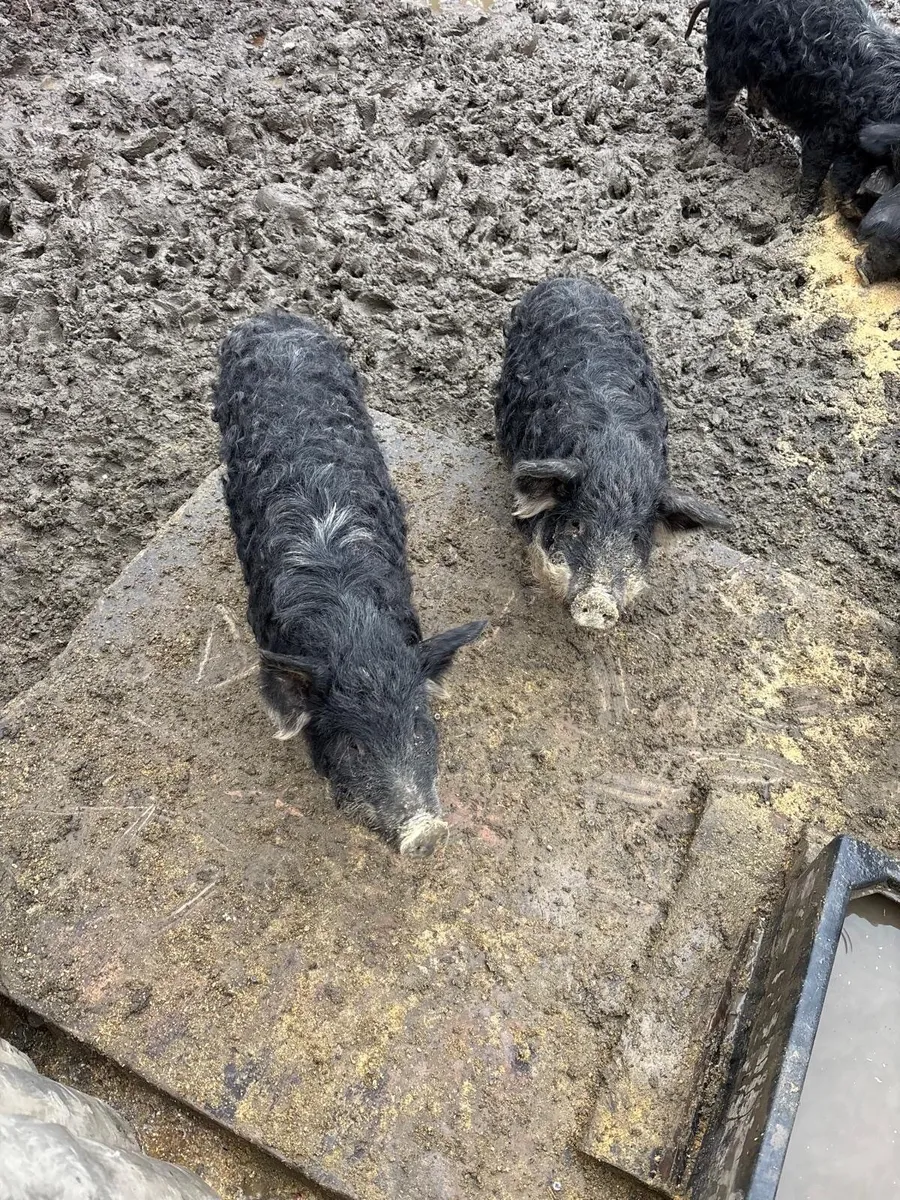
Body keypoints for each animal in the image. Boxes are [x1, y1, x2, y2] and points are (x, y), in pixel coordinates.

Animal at [686, 0, 900, 213]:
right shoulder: (825, 131)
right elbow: (815, 171)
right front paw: (799, 212)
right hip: (725, 57)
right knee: (718, 97)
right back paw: (717, 143)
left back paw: (759, 116)